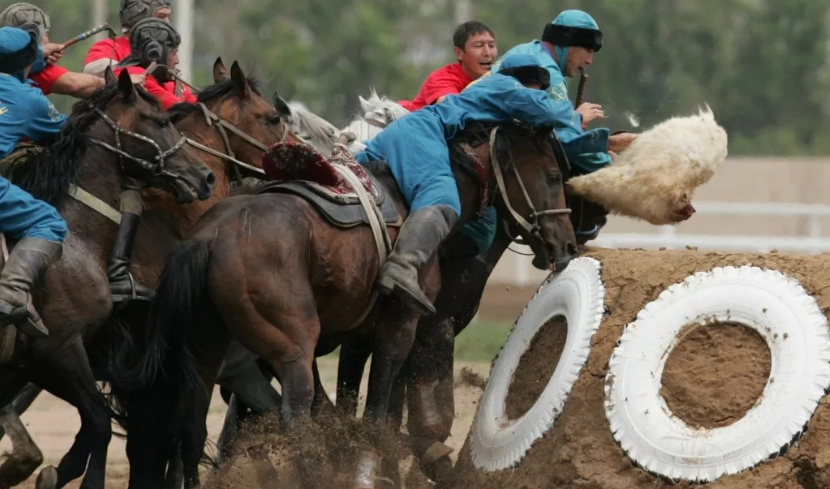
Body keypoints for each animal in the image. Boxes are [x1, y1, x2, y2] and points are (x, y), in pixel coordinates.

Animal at [109, 121, 580, 488]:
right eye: (554, 176)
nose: (569, 244)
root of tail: (212, 235)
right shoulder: (399, 328)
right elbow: (375, 413)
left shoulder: (358, 336)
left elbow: (352, 403)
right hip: (291, 347)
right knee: (295, 419)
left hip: (204, 354)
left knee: (190, 428)